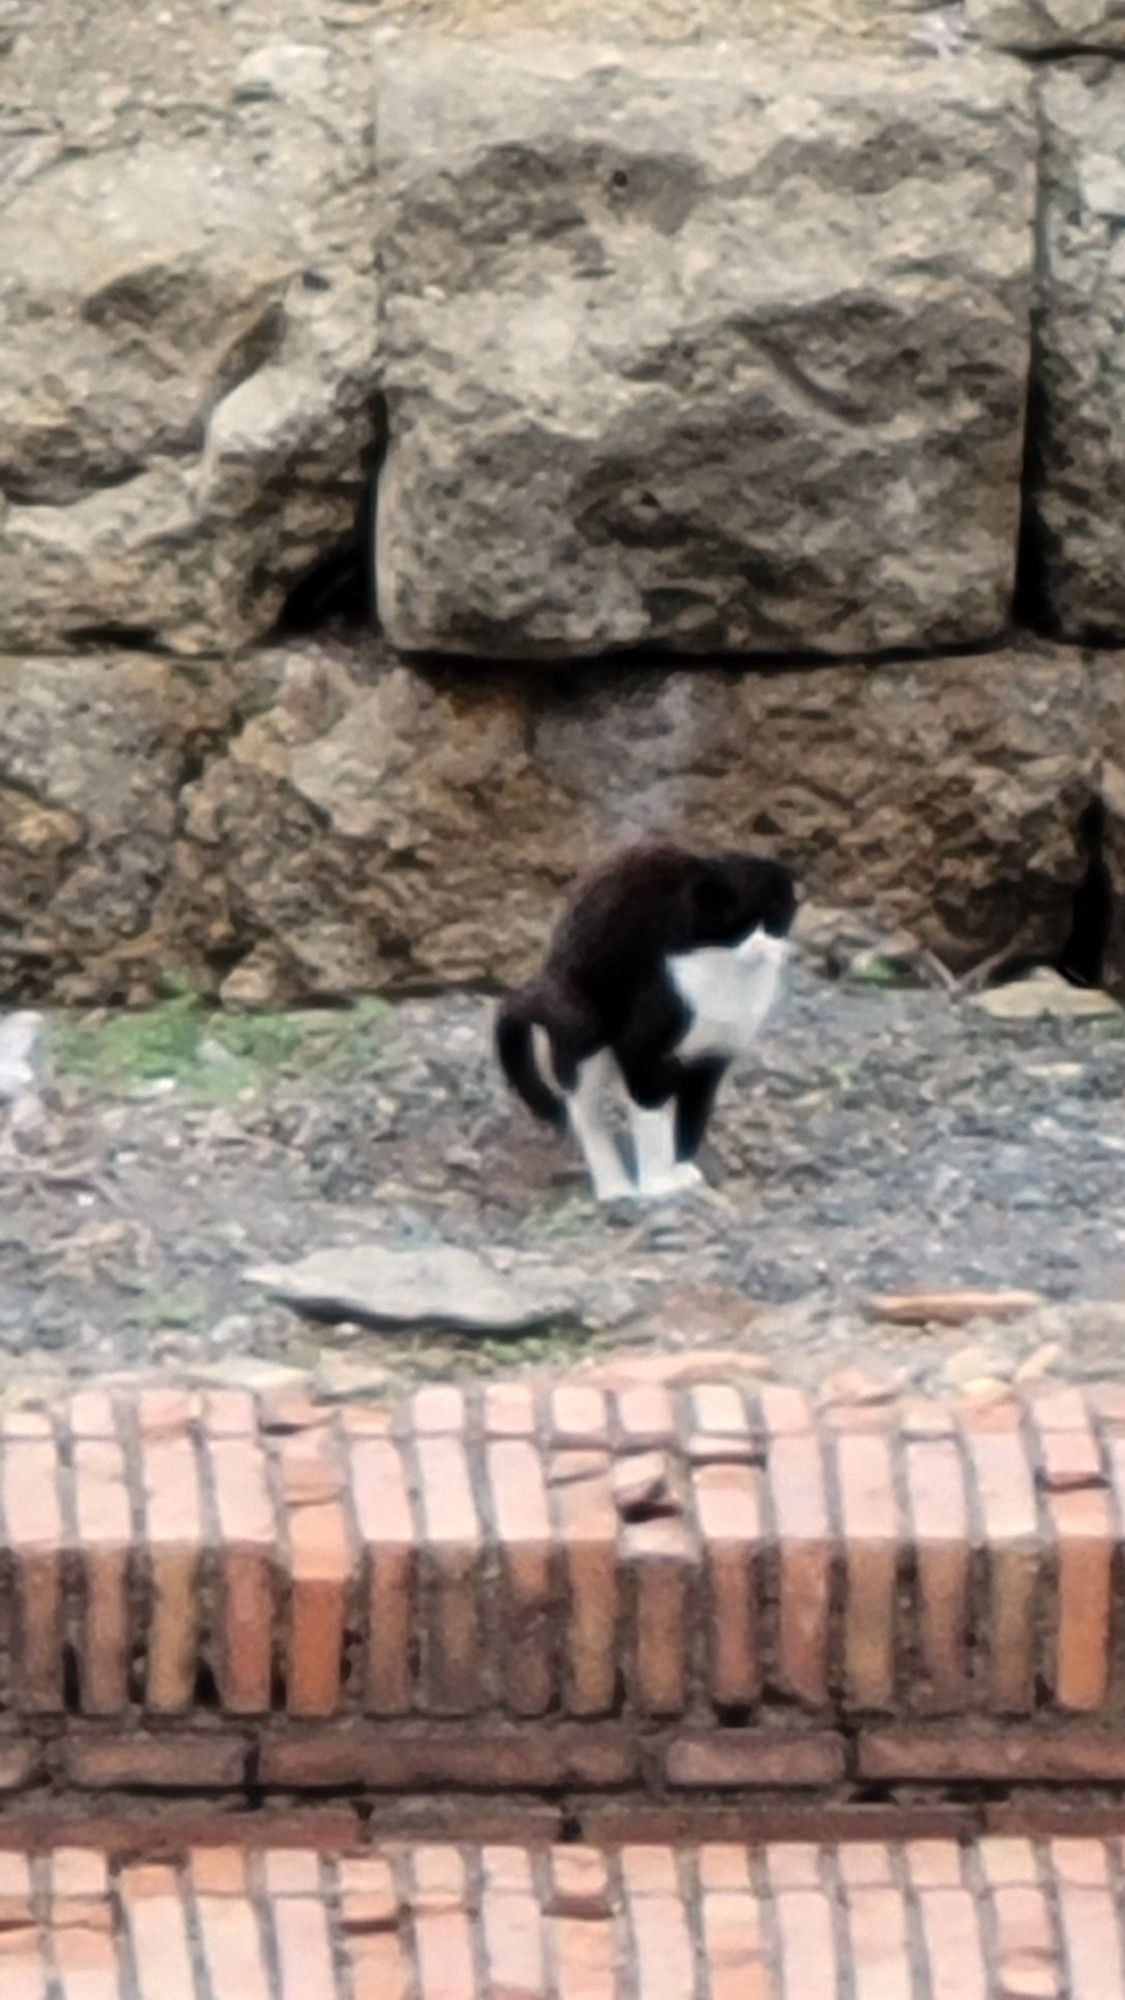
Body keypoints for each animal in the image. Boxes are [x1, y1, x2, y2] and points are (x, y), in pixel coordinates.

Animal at [494, 836, 792, 1192]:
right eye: (737, 925)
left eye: (775, 920)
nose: (762, 946)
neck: (728, 990)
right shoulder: (641, 1048)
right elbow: (648, 1111)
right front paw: (657, 1185)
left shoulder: (713, 1058)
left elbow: (693, 1116)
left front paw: (682, 1168)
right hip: (583, 1026)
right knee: (586, 1113)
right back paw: (615, 1188)